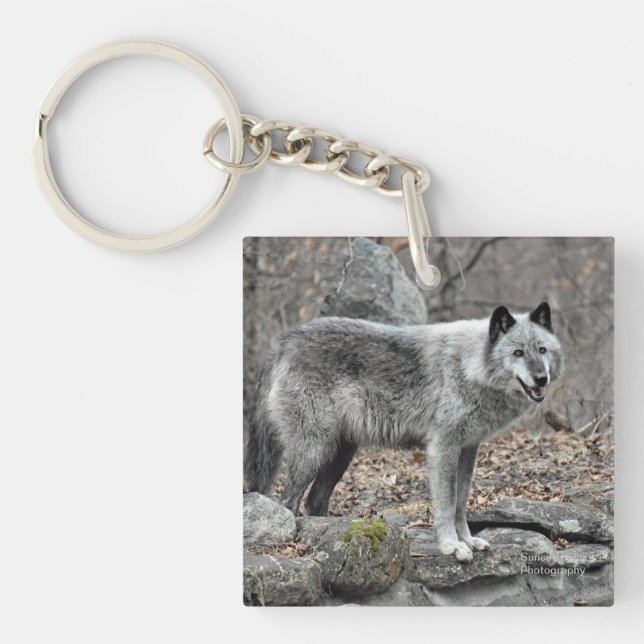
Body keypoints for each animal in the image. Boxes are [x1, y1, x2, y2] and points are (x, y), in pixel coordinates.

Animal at [244, 302, 564, 561]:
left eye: (542, 350)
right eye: (518, 353)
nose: (541, 378)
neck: (468, 366)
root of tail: (284, 341)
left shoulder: (468, 450)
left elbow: (461, 503)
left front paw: (468, 539)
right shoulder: (443, 448)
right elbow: (447, 504)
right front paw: (452, 546)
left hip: (341, 453)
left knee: (314, 500)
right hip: (313, 450)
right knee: (289, 500)